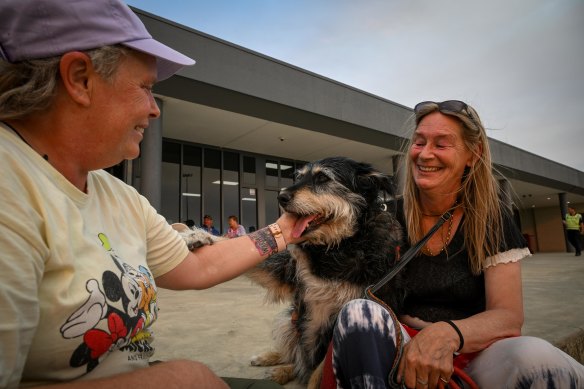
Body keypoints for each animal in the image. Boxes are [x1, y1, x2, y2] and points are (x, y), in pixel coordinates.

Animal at [245, 156, 402, 386]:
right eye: (299, 177)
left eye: (323, 178)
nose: (281, 196)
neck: (338, 246)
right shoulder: (289, 271)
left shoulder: (338, 322)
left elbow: (317, 374)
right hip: (290, 318)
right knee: (295, 354)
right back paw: (272, 361)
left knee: (302, 364)